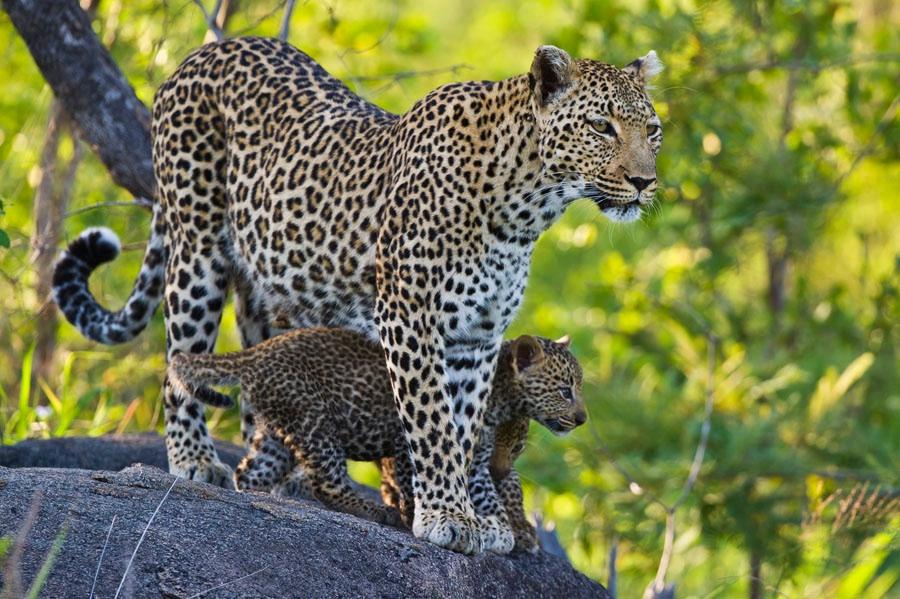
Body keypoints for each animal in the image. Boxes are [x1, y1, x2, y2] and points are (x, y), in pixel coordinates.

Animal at [54, 35, 660, 556]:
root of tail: (203, 53)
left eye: (652, 130)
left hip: (266, 285)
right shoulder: (410, 317)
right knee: (180, 359)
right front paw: (446, 517)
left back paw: (283, 479)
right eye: (601, 126)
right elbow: (433, 422)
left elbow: (465, 429)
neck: (525, 206)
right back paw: (197, 461)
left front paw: (477, 517)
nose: (645, 182)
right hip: (196, 248)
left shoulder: (478, 336)